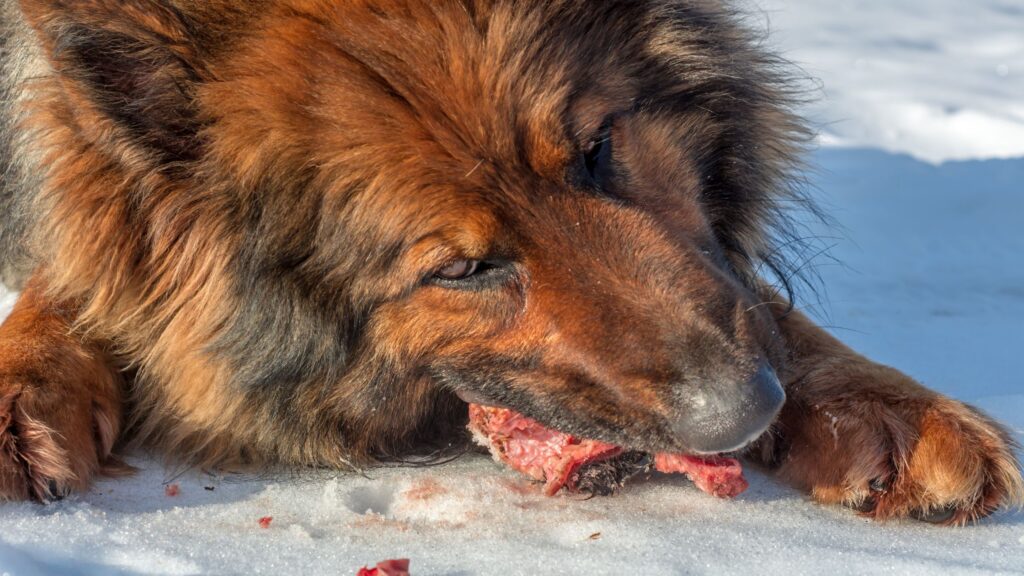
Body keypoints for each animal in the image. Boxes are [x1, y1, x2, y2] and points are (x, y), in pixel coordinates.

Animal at [0, 0, 1019, 522]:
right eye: (462, 271)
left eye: (598, 151)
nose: (746, 410)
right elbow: (70, 275)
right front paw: (23, 386)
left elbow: (762, 302)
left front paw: (881, 405)